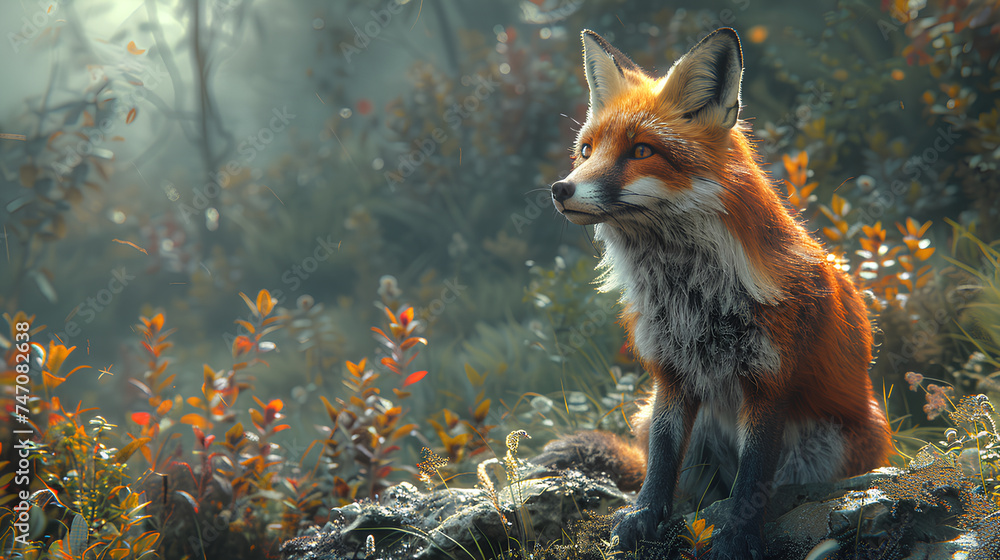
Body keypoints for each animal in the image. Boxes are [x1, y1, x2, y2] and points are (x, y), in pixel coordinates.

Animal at [544, 28, 892, 558]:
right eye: (586, 151)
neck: (691, 294)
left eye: (641, 151)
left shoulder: (770, 380)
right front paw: (643, 517)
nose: (560, 189)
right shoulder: (670, 374)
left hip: (828, 444)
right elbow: (660, 463)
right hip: (677, 427)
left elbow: (753, 477)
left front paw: (738, 537)